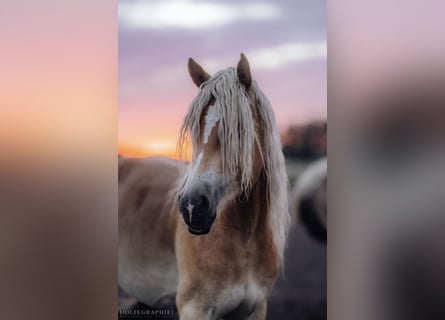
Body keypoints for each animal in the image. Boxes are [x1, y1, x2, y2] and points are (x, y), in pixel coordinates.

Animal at [118, 53, 290, 318]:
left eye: (239, 130)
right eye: (195, 129)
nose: (192, 206)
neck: (245, 243)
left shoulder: (256, 308)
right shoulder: (195, 308)